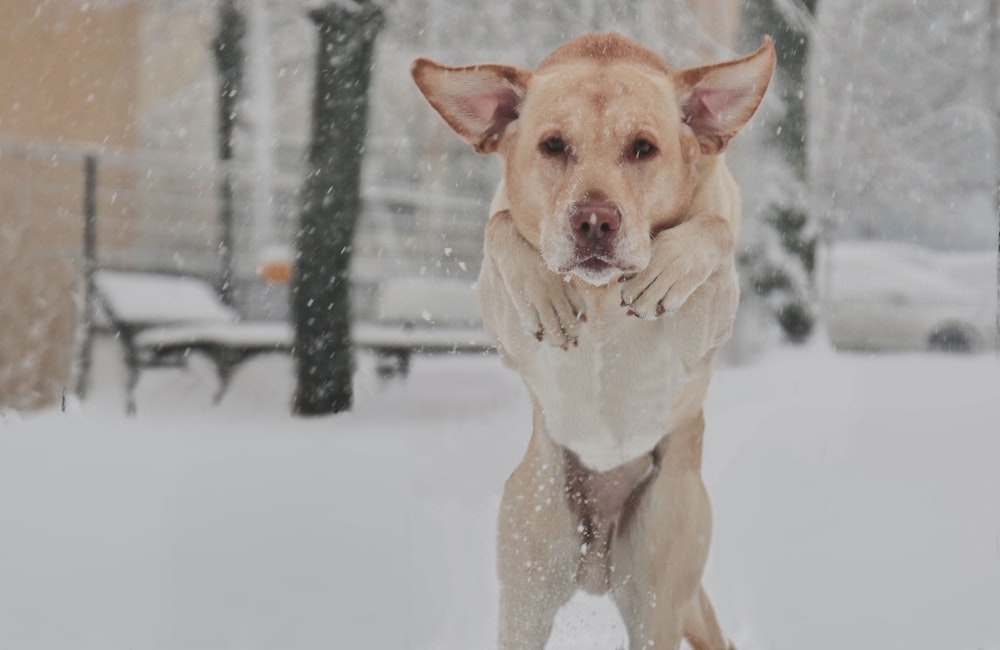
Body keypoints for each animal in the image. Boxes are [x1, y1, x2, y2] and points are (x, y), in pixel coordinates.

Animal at [410, 33, 776, 644]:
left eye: (643, 148)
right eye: (553, 145)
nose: (595, 221)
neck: (601, 295)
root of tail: (597, 562)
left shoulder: (701, 336)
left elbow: (716, 229)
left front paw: (668, 267)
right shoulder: (506, 330)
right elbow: (498, 228)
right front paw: (544, 293)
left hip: (659, 592)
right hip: (528, 580)